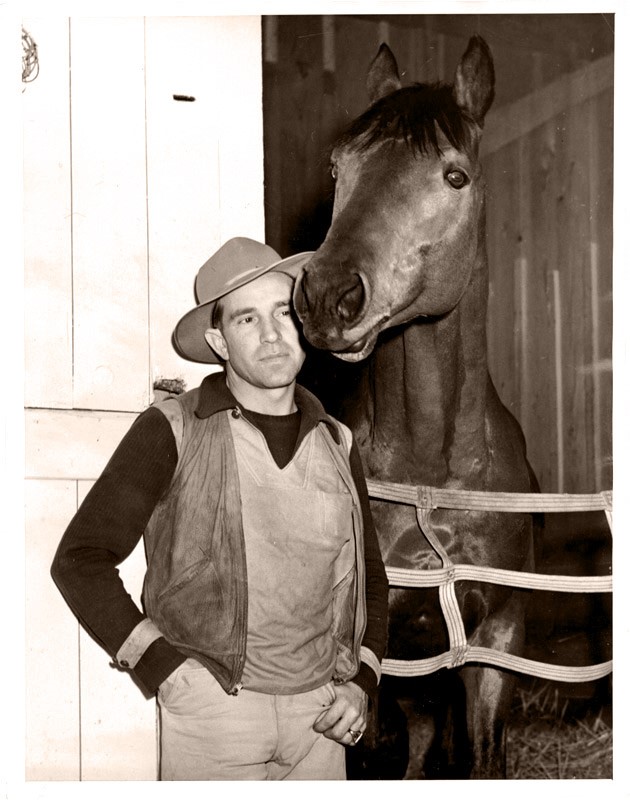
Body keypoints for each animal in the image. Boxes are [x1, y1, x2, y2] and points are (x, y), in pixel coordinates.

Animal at [294, 34, 540, 780]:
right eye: (338, 168)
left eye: (454, 176)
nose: (327, 296)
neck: (435, 474)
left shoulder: (495, 642)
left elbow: (483, 757)